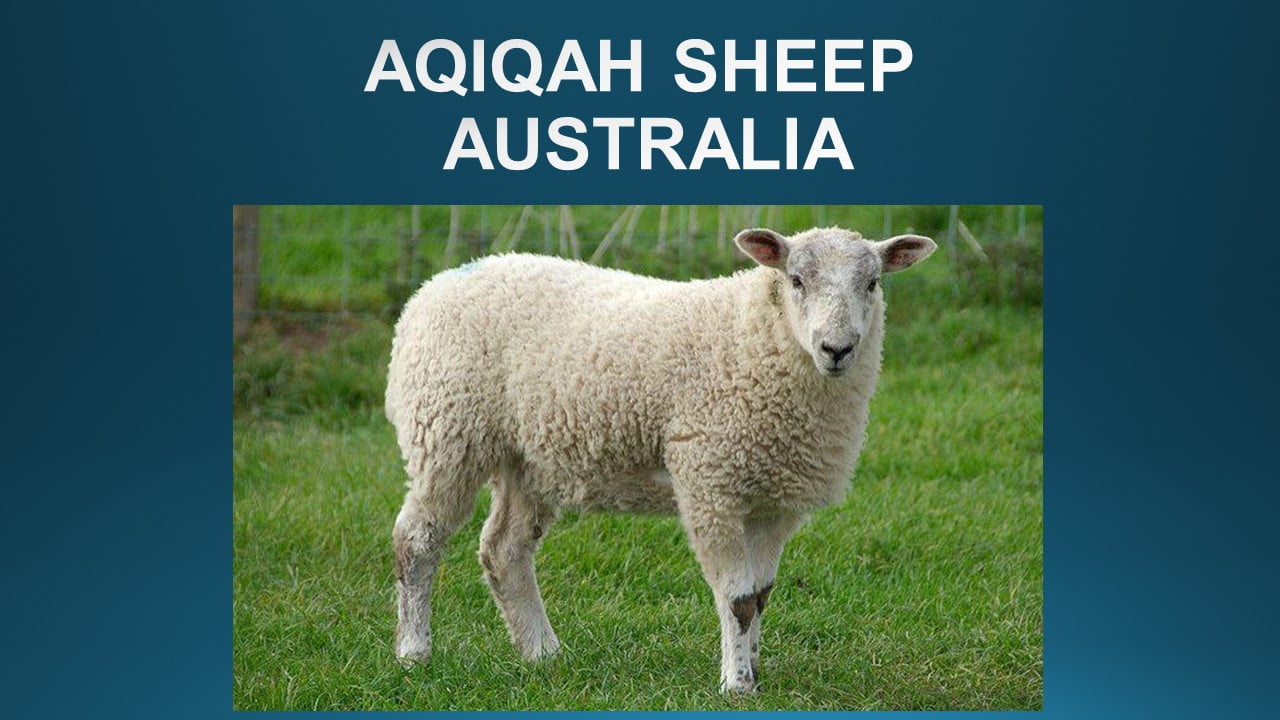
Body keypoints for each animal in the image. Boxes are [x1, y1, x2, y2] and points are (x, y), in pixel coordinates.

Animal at [385, 226, 937, 693]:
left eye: (872, 283)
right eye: (796, 279)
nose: (837, 349)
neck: (753, 337)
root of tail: (432, 287)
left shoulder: (776, 500)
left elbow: (760, 595)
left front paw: (756, 672)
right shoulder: (710, 483)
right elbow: (737, 600)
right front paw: (737, 685)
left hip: (530, 460)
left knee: (504, 550)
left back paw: (543, 653)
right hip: (447, 431)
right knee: (417, 540)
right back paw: (414, 653)